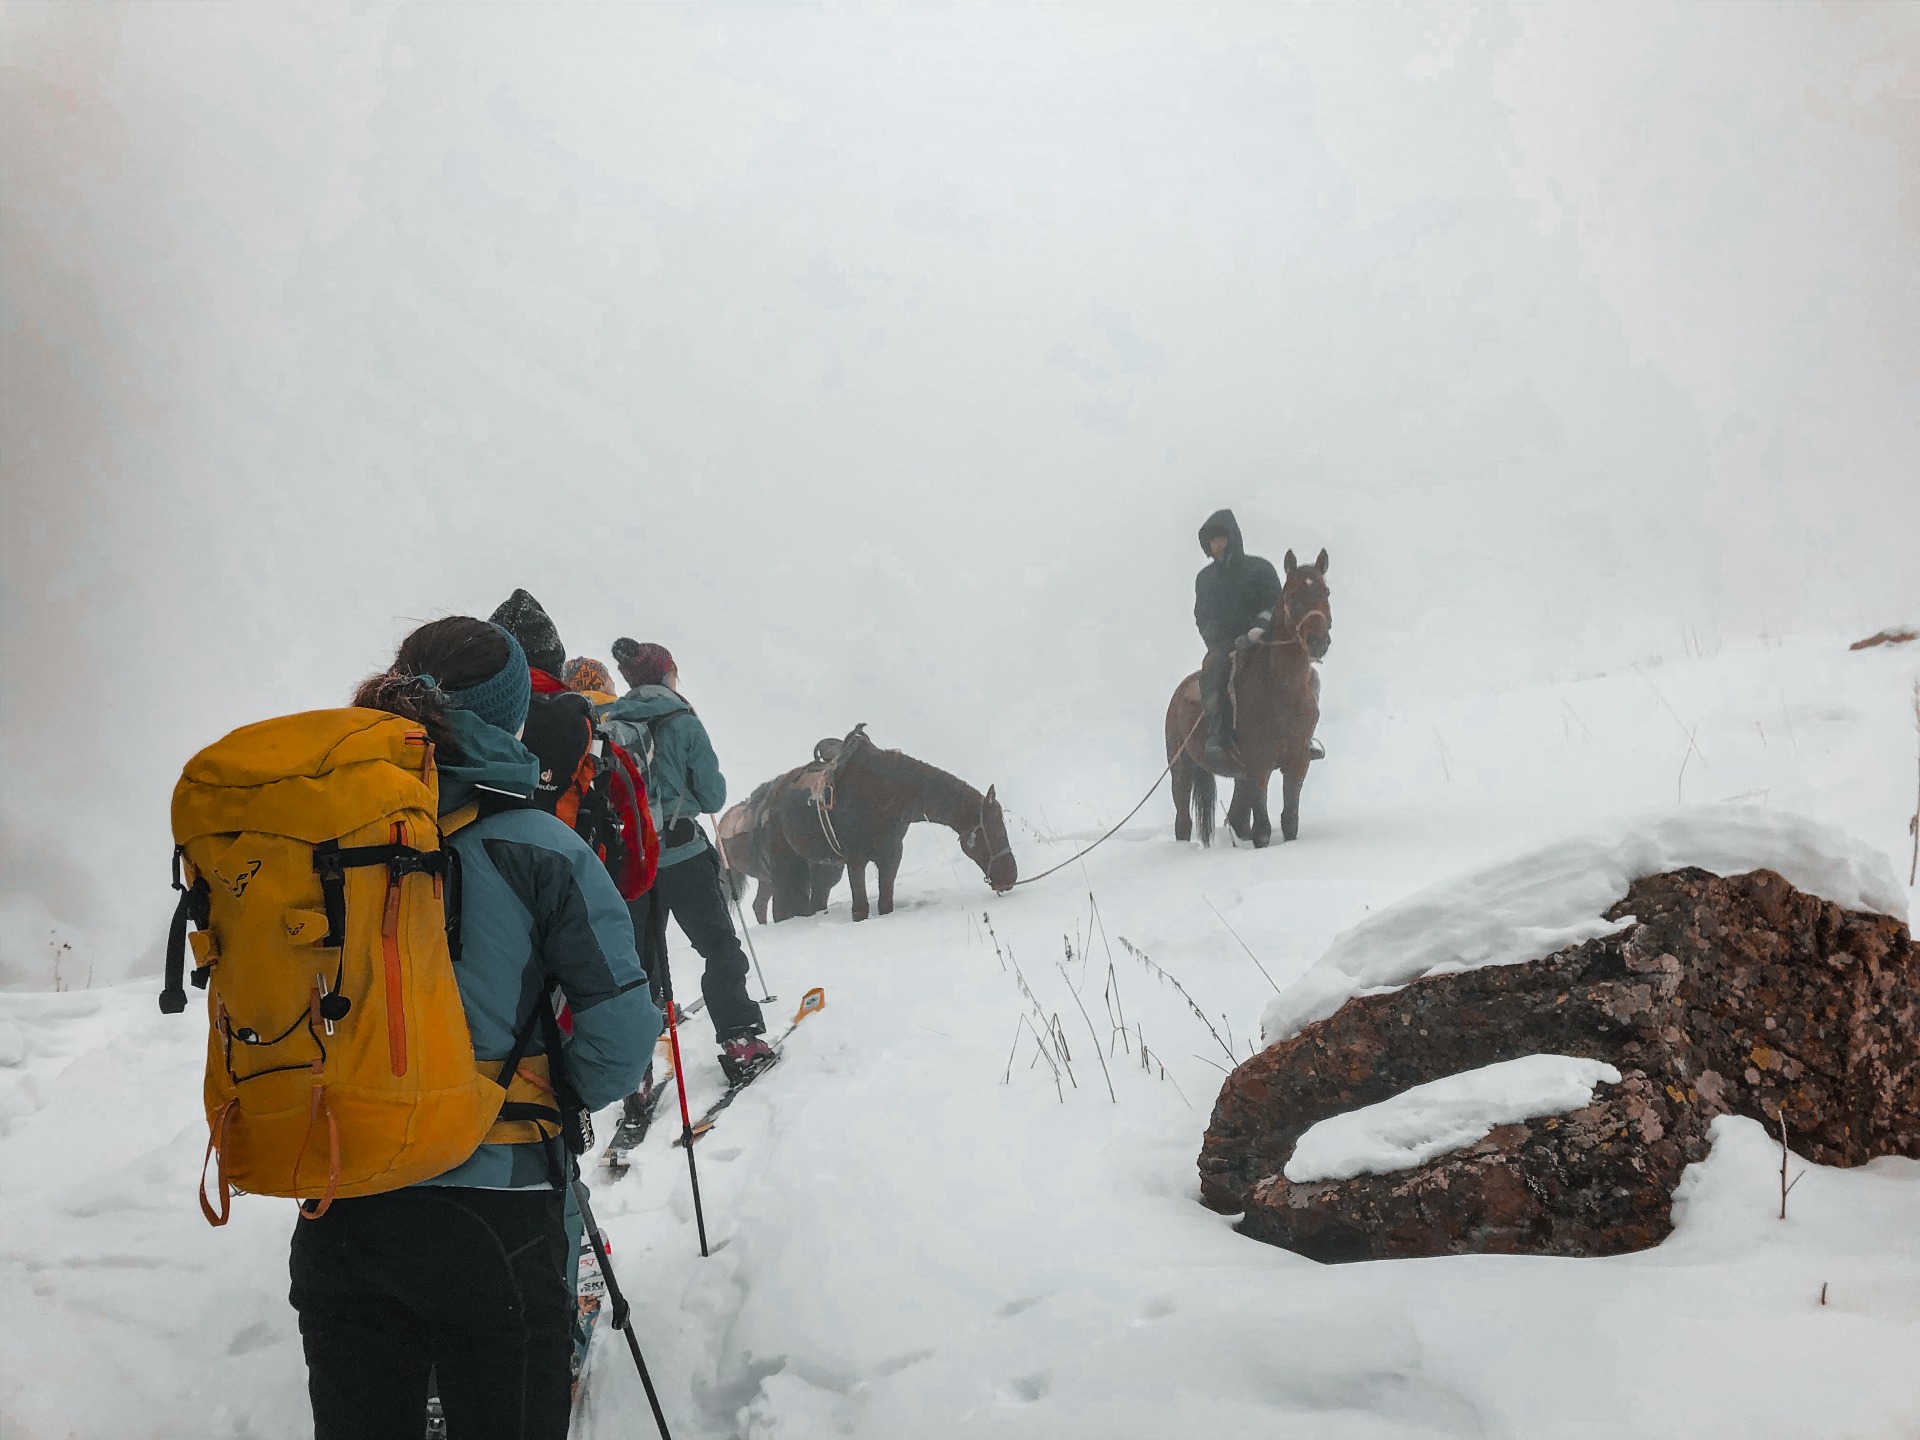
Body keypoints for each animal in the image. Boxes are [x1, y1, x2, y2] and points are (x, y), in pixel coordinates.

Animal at [756, 721, 1021, 925]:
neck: (885, 792)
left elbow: (885, 904)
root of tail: (771, 797)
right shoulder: (856, 860)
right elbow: (861, 910)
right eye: (991, 831)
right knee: (780, 909)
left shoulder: (891, 856)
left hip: (820, 867)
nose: (1010, 877)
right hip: (784, 866)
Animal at [1159, 549, 1328, 844]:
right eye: (1292, 595)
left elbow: (1290, 820)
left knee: (1237, 818)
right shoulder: (1259, 766)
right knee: (1184, 821)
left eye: (1326, 591)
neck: (1280, 690)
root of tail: (1180, 693)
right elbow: (1262, 828)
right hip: (1182, 769)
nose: (1318, 642)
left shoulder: (1297, 762)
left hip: (1240, 776)